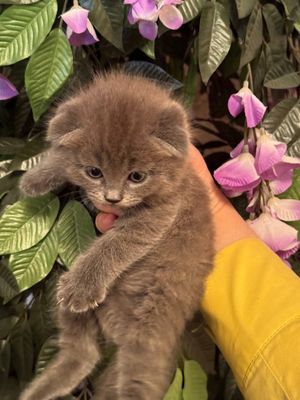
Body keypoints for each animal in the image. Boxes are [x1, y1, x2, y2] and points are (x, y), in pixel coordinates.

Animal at [18, 72, 213, 400]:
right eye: (94, 172)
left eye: (137, 177)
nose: (112, 198)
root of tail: (116, 330)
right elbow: (64, 159)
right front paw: (36, 177)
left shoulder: (159, 213)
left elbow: (114, 245)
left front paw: (83, 285)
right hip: (65, 297)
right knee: (83, 353)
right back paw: (37, 391)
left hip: (149, 334)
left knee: (137, 380)